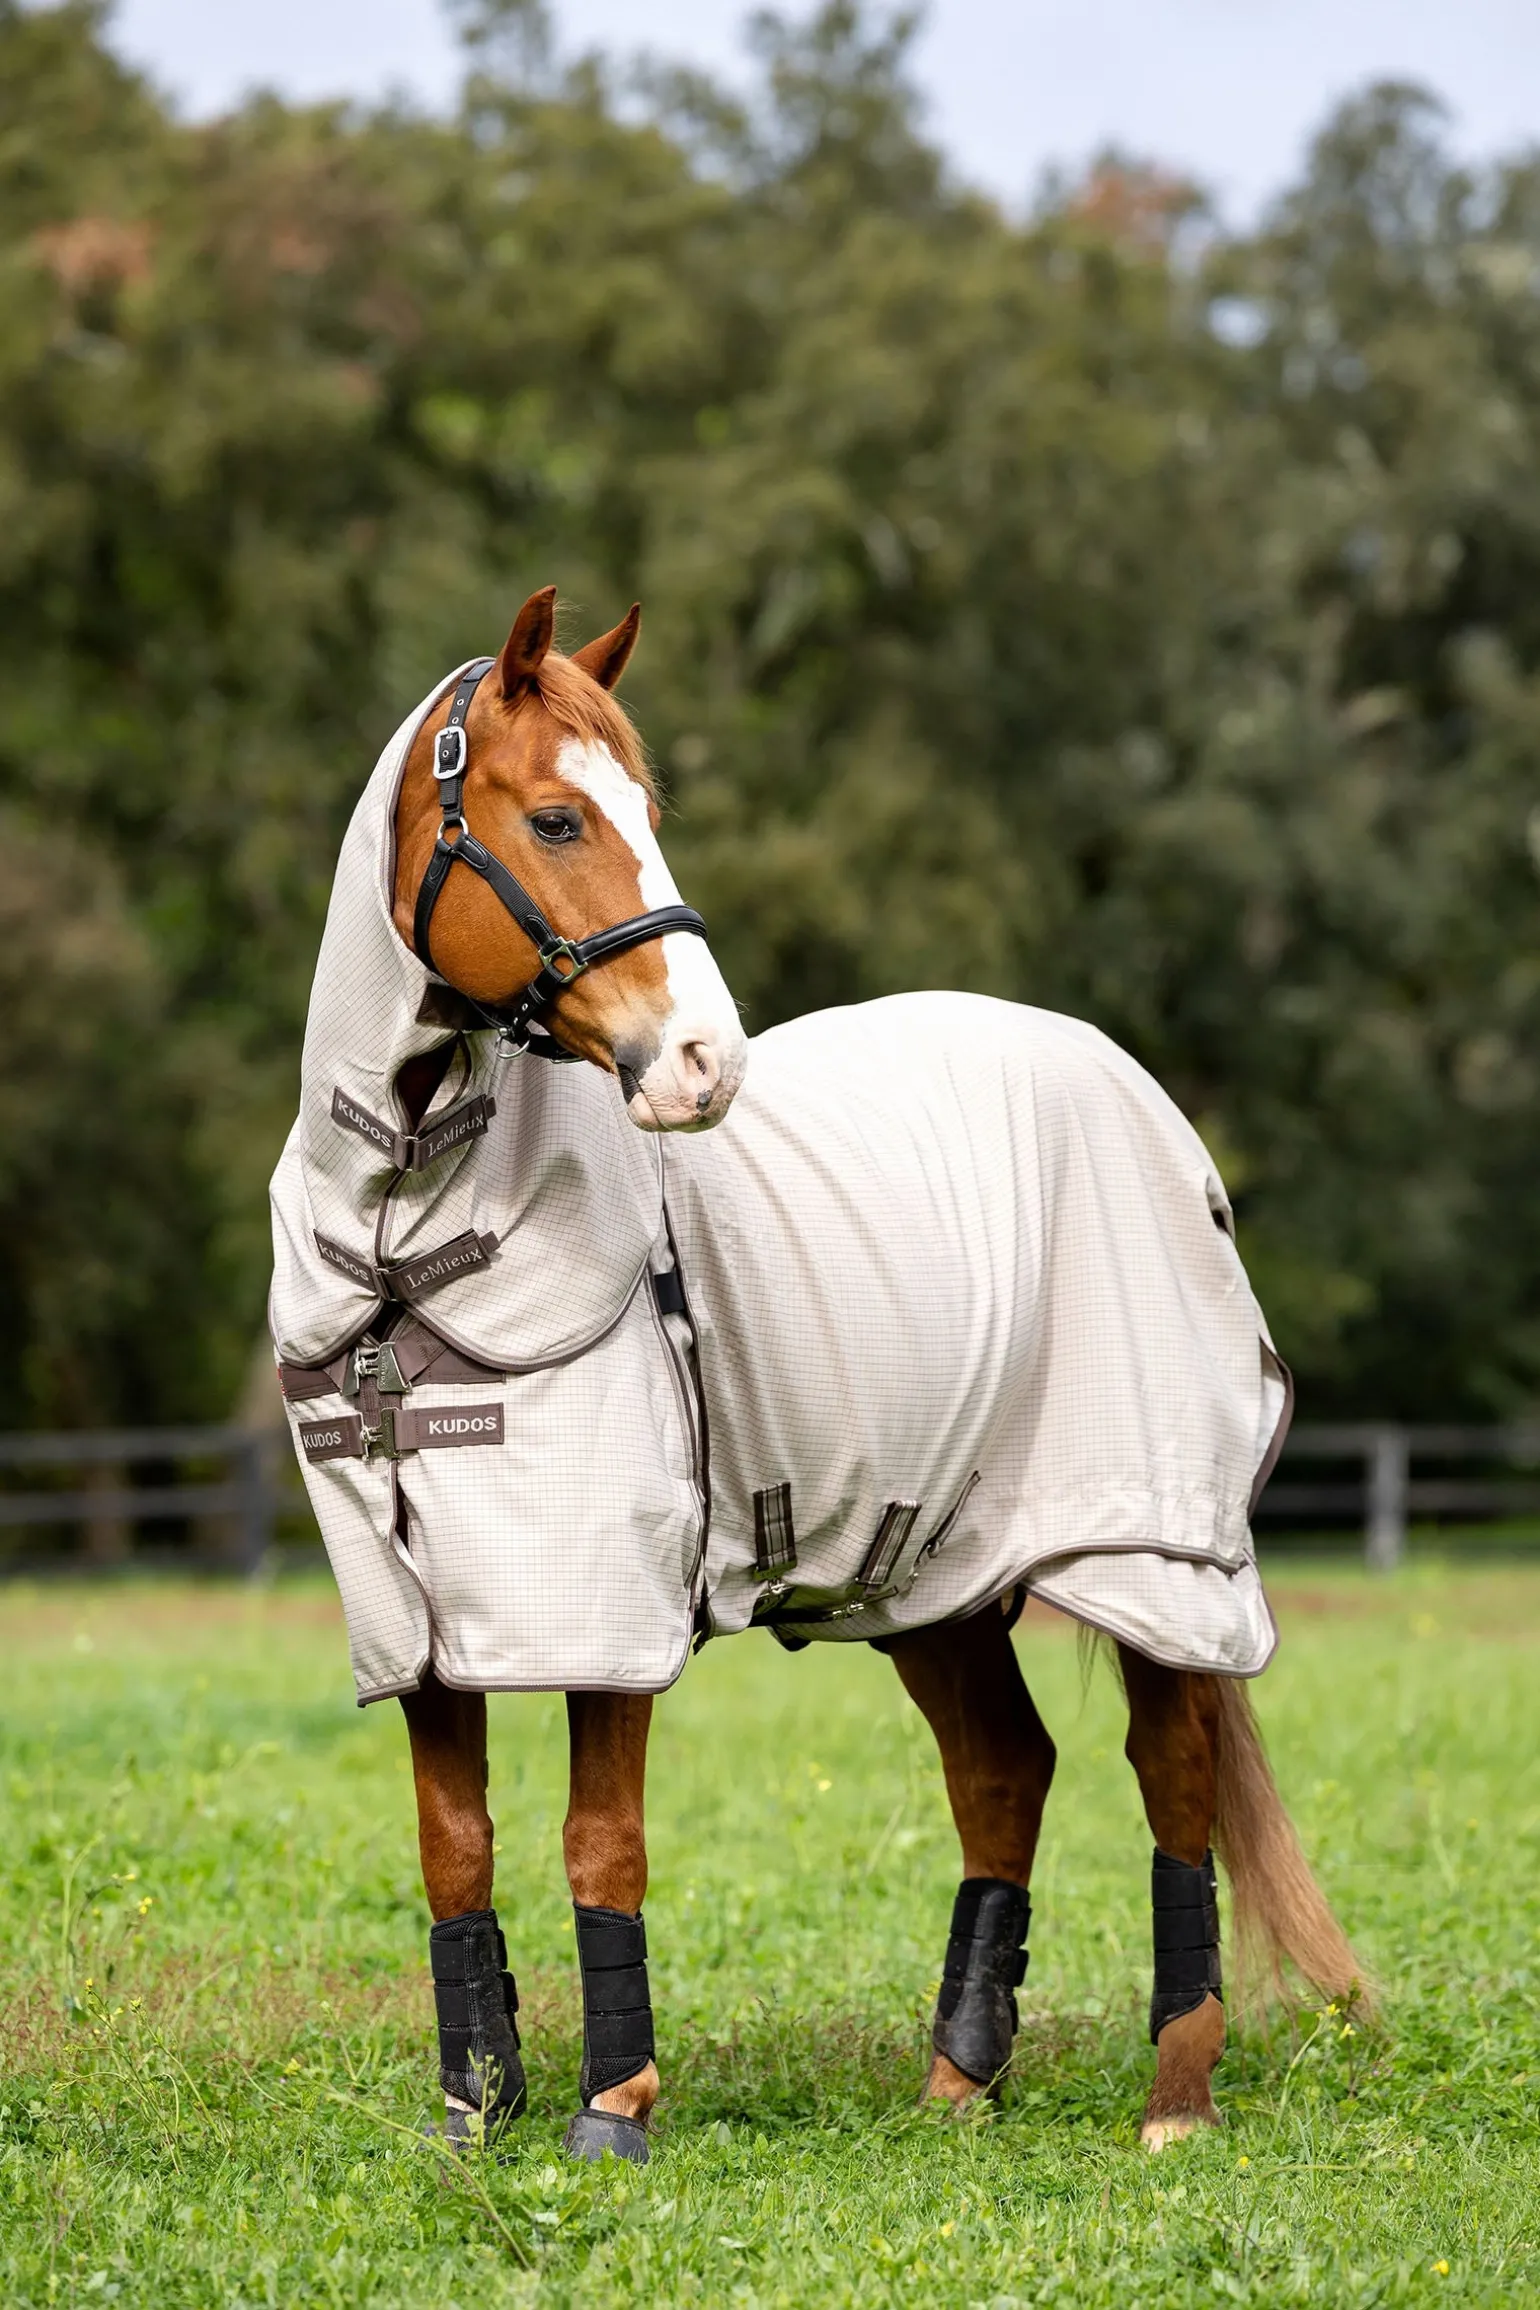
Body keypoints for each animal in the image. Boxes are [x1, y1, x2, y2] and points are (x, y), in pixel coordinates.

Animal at [268, 585, 1367, 2167]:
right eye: (555, 818)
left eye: (645, 809)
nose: (702, 1064)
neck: (398, 1238)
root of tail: (1139, 1096)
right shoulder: (420, 1616)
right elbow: (453, 1849)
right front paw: (474, 2118)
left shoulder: (610, 1601)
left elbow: (601, 1842)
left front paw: (612, 2114)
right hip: (937, 1573)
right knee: (1004, 1768)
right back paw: (959, 2084)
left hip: (1150, 1547)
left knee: (1171, 1773)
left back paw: (1175, 2100)